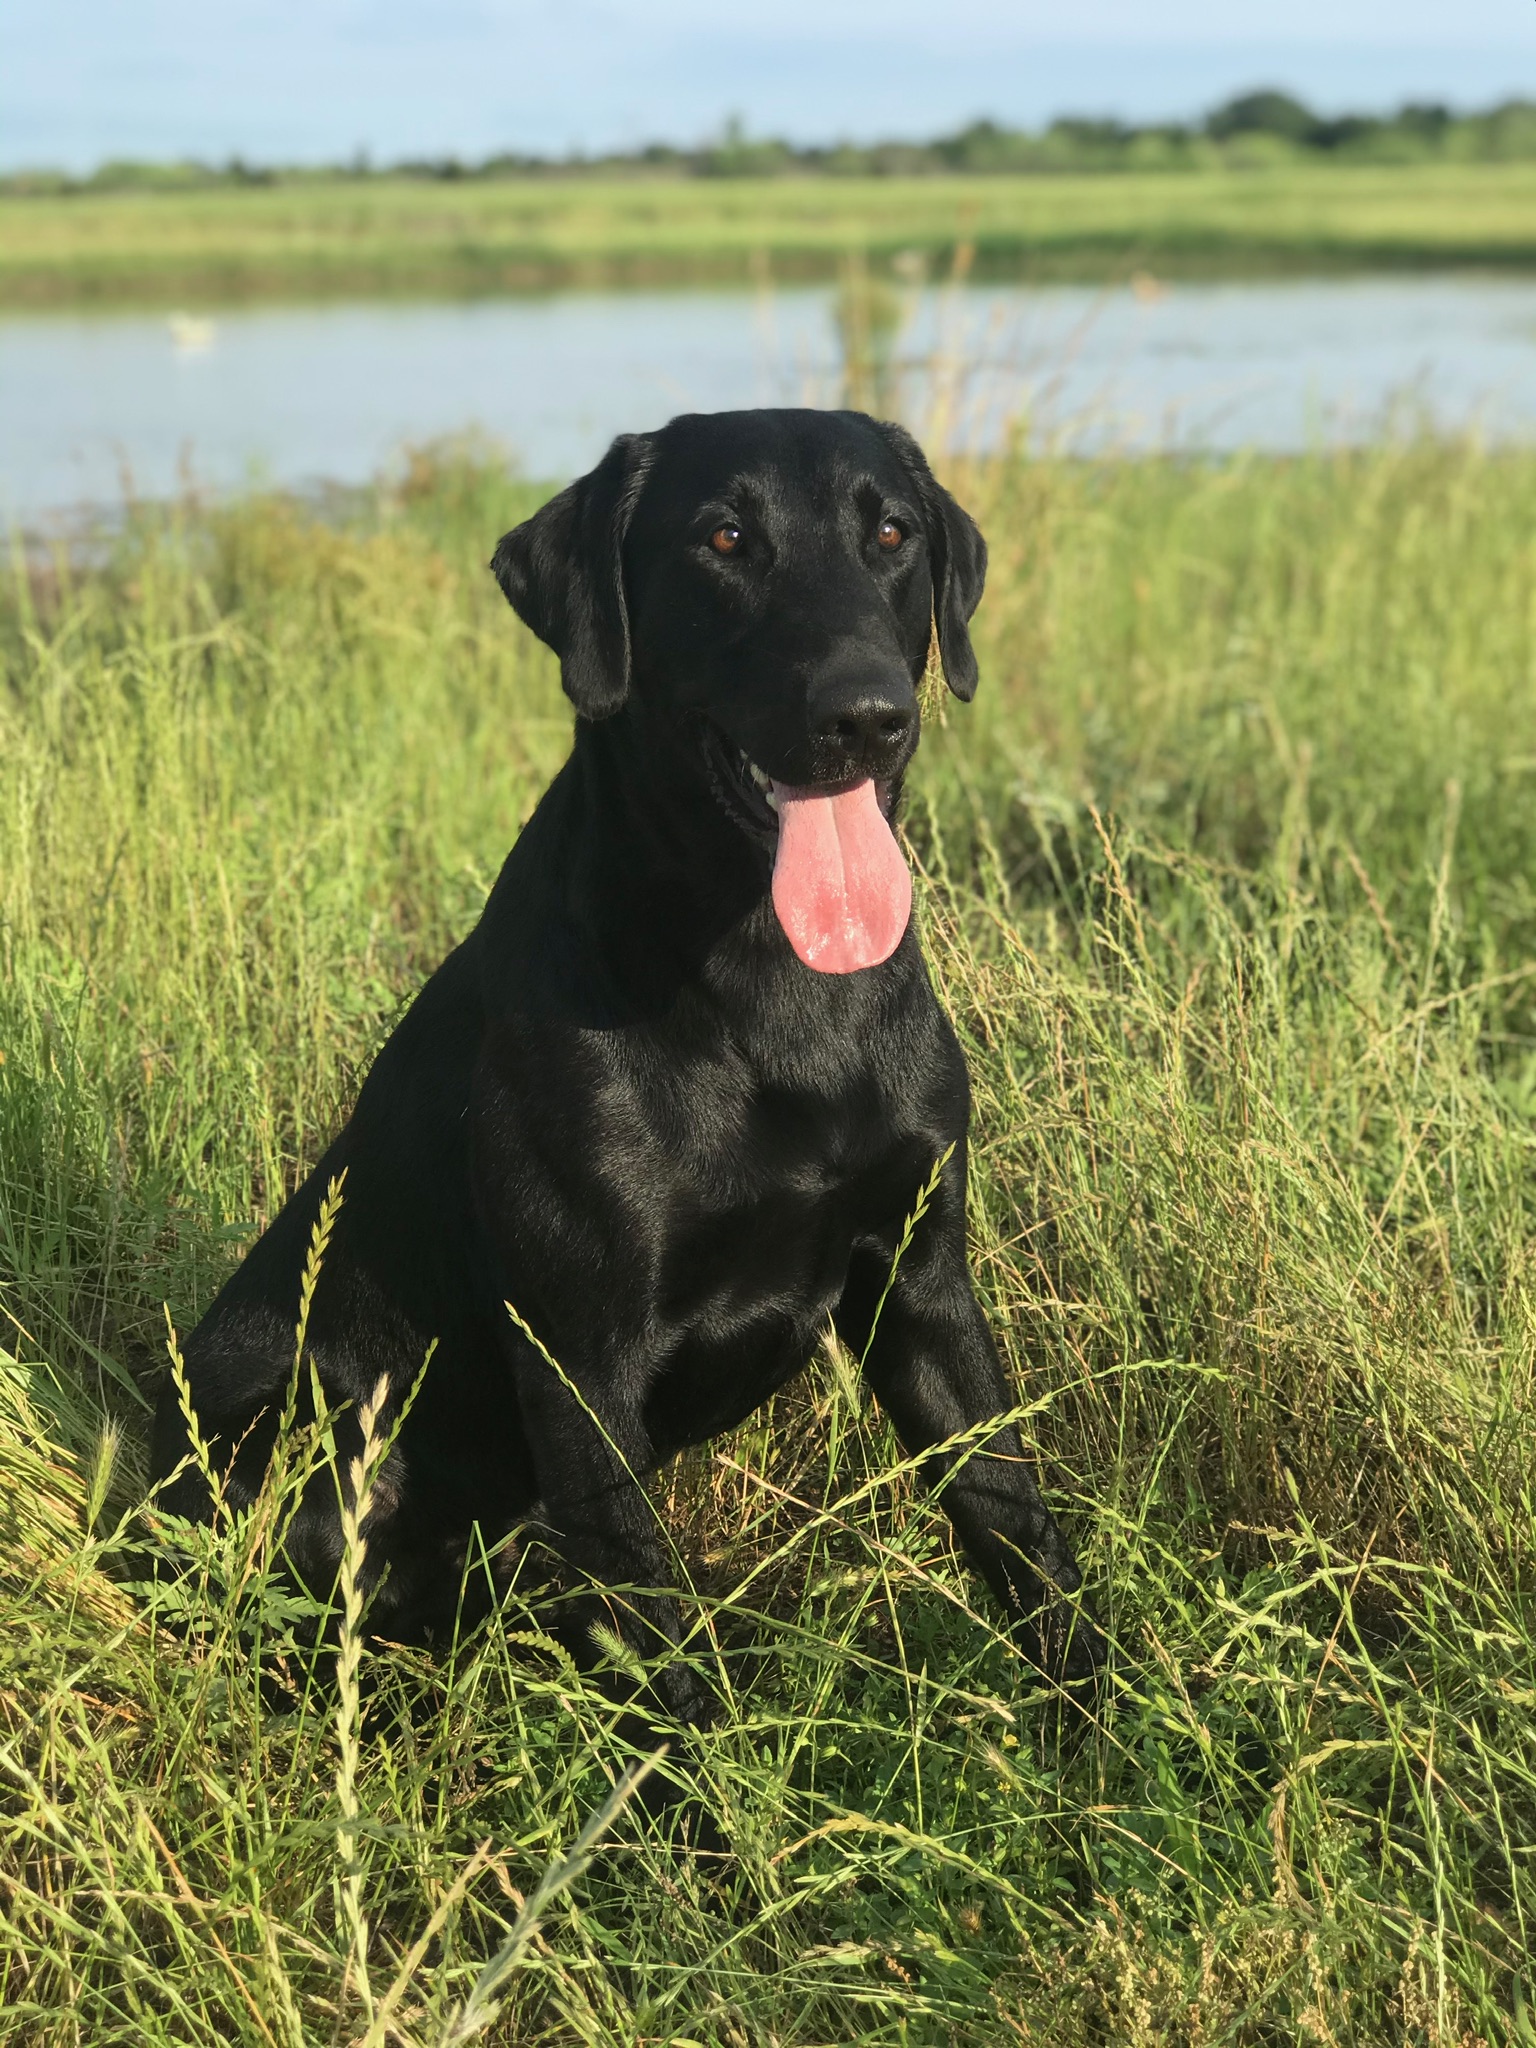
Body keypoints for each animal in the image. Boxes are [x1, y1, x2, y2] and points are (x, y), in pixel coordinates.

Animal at [150, 407, 1097, 1753]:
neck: (770, 982)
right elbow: (667, 1652)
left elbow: (1015, 1522)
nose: (866, 714)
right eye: (724, 538)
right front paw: (712, 1808)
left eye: (892, 534)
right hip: (318, 1428)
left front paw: (1121, 1737)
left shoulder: (922, 1280)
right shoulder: (579, 1360)